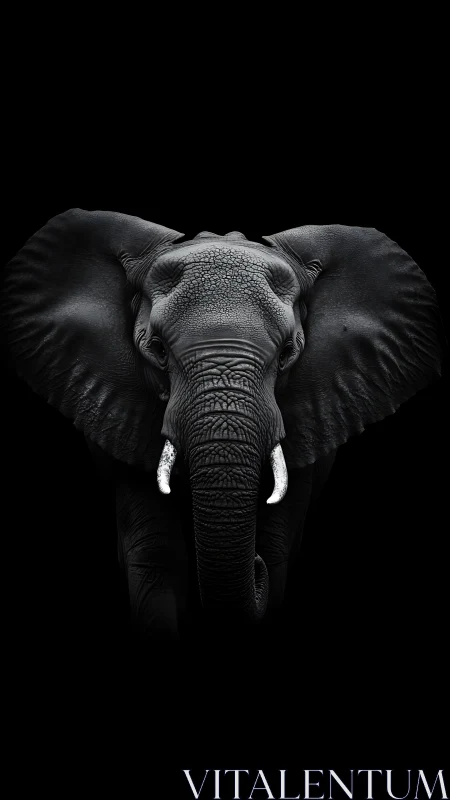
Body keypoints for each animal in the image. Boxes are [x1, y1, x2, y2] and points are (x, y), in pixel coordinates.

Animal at [1, 209, 443, 643]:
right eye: (157, 350)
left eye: (288, 352)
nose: (254, 565)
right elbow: (155, 556)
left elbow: (277, 550)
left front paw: (265, 559)